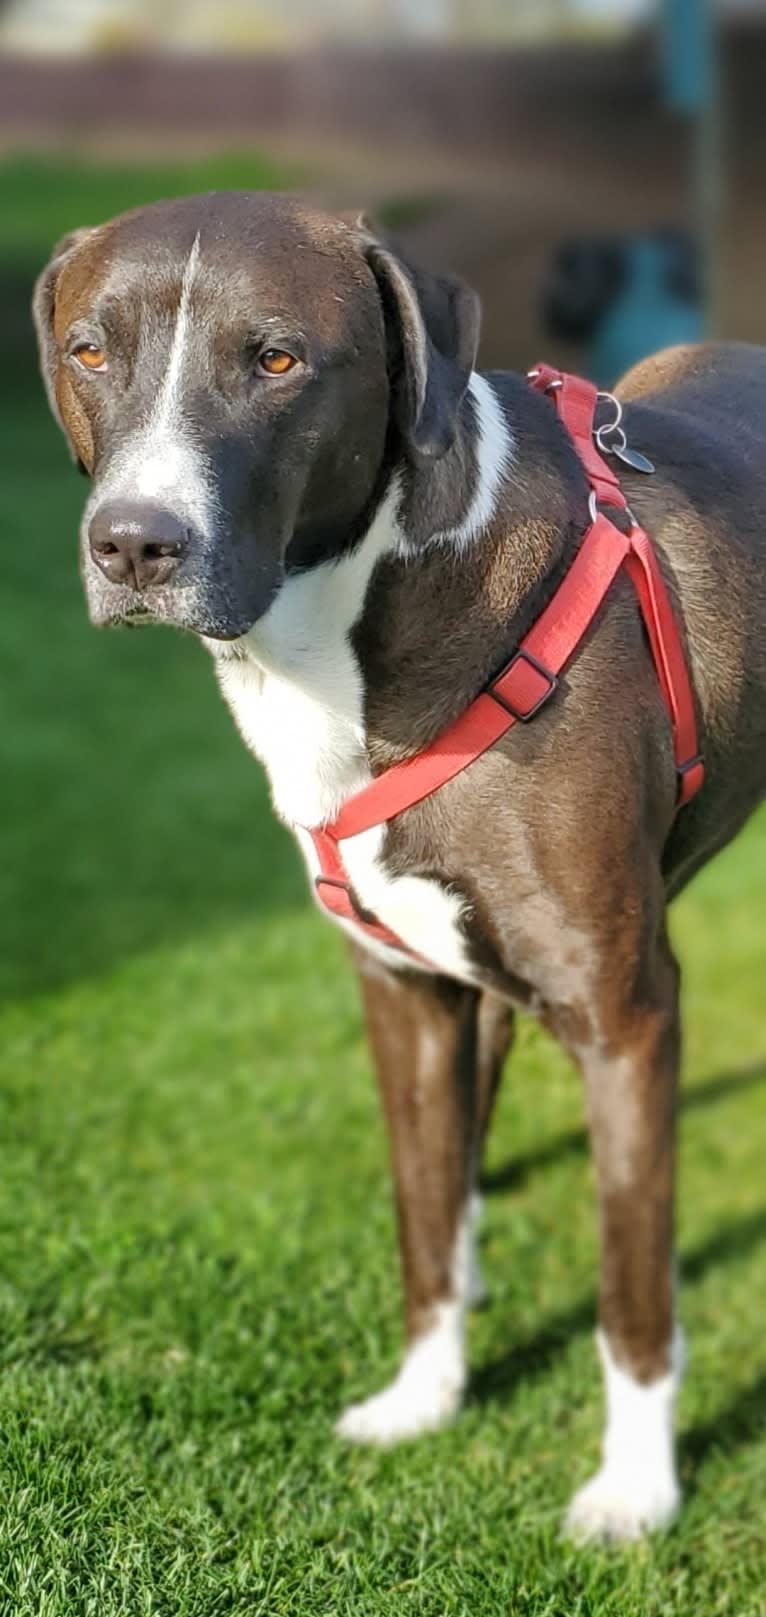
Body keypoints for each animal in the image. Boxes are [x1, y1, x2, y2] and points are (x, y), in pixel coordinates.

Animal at [32, 189, 766, 1539]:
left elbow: (632, 1287)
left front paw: (635, 1489)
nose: (133, 548)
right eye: (88, 351)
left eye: (276, 361)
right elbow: (424, 1217)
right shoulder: (405, 991)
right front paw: (425, 1396)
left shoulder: (624, 1010)